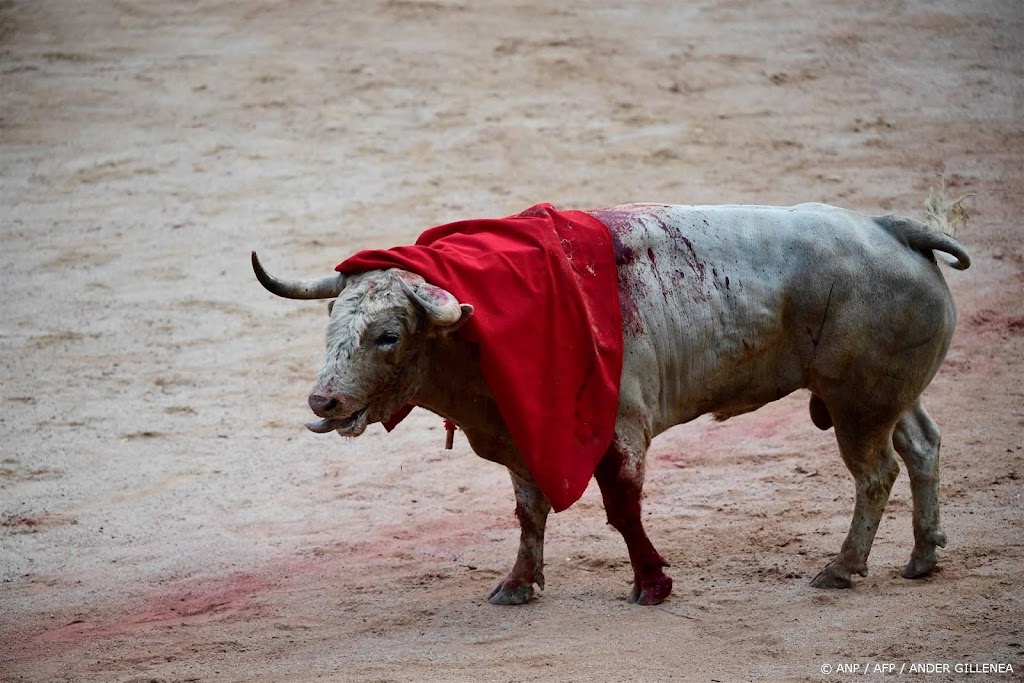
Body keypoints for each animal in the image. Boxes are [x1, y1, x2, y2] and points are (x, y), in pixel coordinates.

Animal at [253, 200, 966, 606]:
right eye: (331, 322)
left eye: (388, 335)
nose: (324, 400)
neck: (479, 334)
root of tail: (891, 229)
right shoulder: (522, 436)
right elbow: (529, 512)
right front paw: (517, 585)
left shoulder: (620, 431)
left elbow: (622, 510)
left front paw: (651, 584)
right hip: (885, 397)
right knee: (923, 446)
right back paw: (922, 557)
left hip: (858, 404)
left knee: (876, 472)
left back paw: (842, 569)